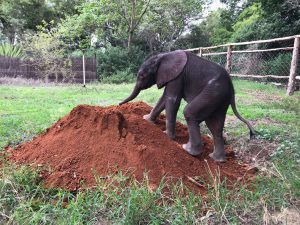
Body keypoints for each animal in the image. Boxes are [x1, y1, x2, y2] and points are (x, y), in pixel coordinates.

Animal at [119, 50, 255, 162]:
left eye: (142, 75)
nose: (119, 104)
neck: (163, 56)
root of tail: (232, 88)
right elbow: (164, 98)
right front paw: (146, 119)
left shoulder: (178, 76)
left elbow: (172, 100)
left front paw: (166, 136)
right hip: (220, 99)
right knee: (215, 125)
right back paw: (216, 159)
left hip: (214, 92)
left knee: (190, 113)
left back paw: (187, 150)